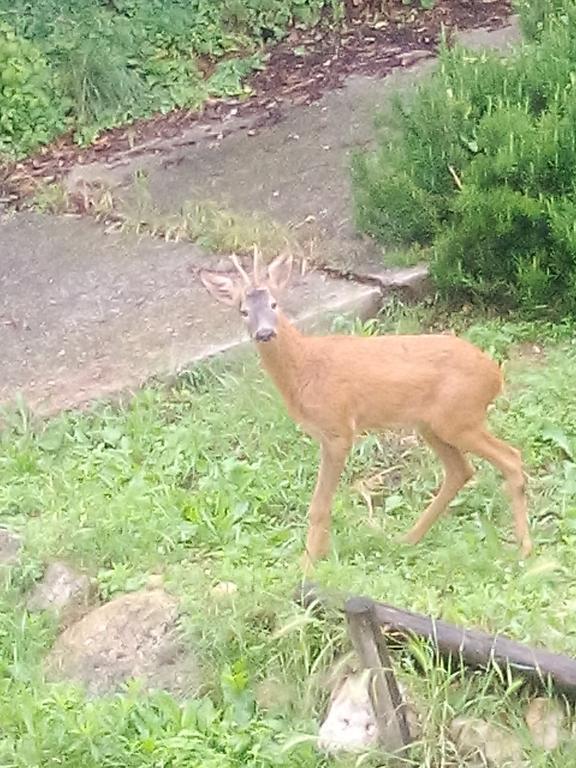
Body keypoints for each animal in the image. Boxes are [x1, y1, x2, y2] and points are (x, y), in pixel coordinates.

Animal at [198, 246, 532, 568]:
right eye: (243, 311)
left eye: (274, 304)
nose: (265, 332)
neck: (305, 367)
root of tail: (495, 375)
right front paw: (315, 557)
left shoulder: (338, 429)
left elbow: (319, 505)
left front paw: (308, 565)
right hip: (432, 425)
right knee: (460, 470)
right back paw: (407, 539)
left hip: (460, 417)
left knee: (510, 458)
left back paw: (524, 549)